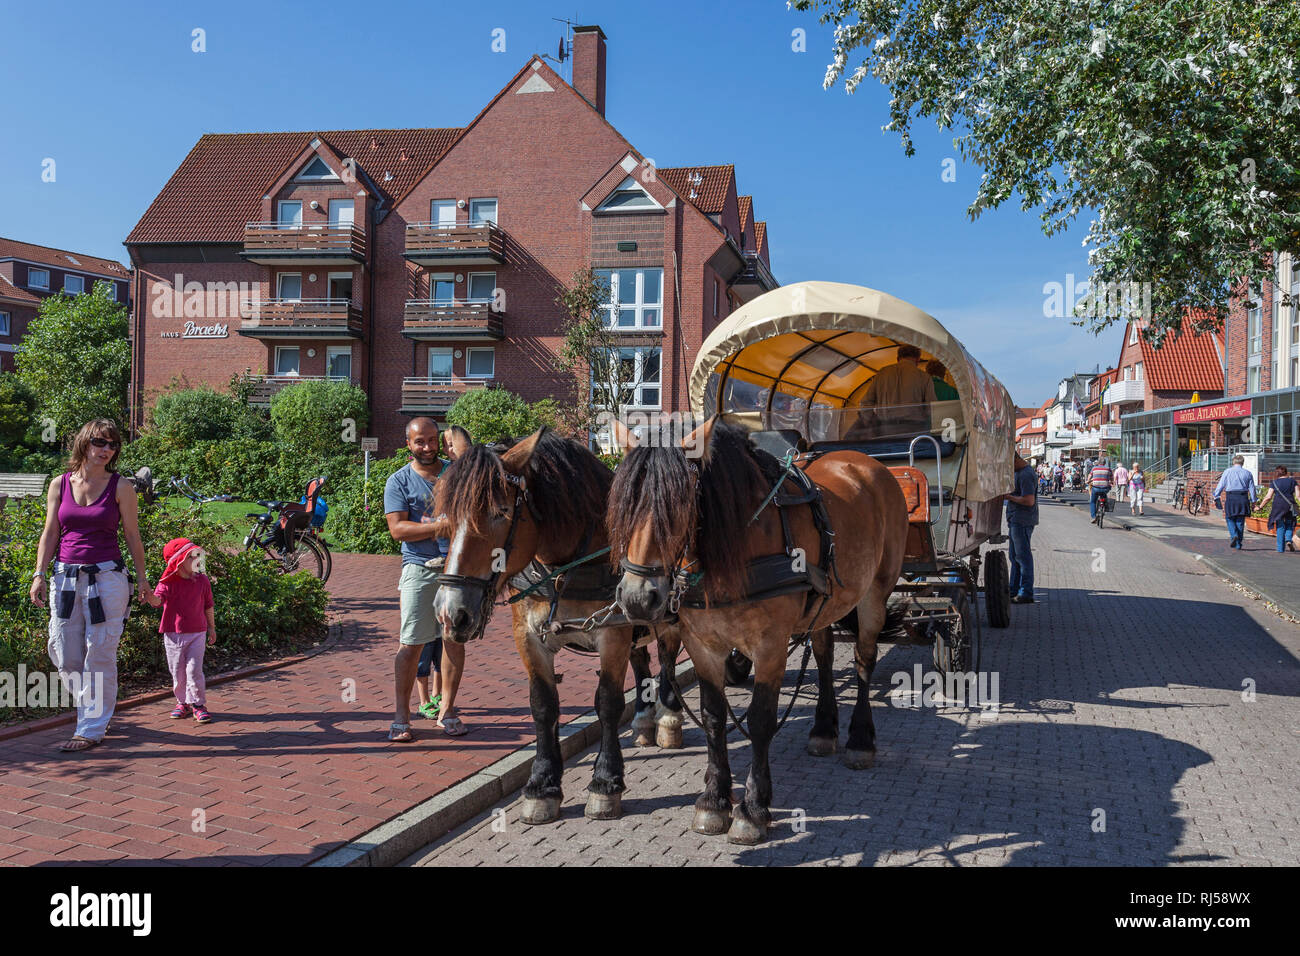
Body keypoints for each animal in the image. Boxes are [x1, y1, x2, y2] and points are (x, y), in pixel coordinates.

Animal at [434, 429, 686, 827]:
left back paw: (669, 719)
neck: (566, 567)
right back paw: (644, 720)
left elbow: (608, 703)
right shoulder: (529, 637)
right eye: (447, 516)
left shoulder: (612, 633)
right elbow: (543, 705)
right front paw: (542, 785)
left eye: (500, 512)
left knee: (668, 662)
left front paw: (605, 783)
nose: (450, 613)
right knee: (643, 661)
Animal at [605, 418, 904, 842]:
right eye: (622, 507)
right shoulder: (702, 645)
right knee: (825, 654)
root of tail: (862, 461)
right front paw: (714, 800)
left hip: (875, 594)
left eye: (679, 505)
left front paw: (752, 808)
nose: (636, 599)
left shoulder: (770, 646)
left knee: (864, 661)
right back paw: (823, 730)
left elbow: (761, 720)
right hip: (826, 603)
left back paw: (860, 739)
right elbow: (713, 717)